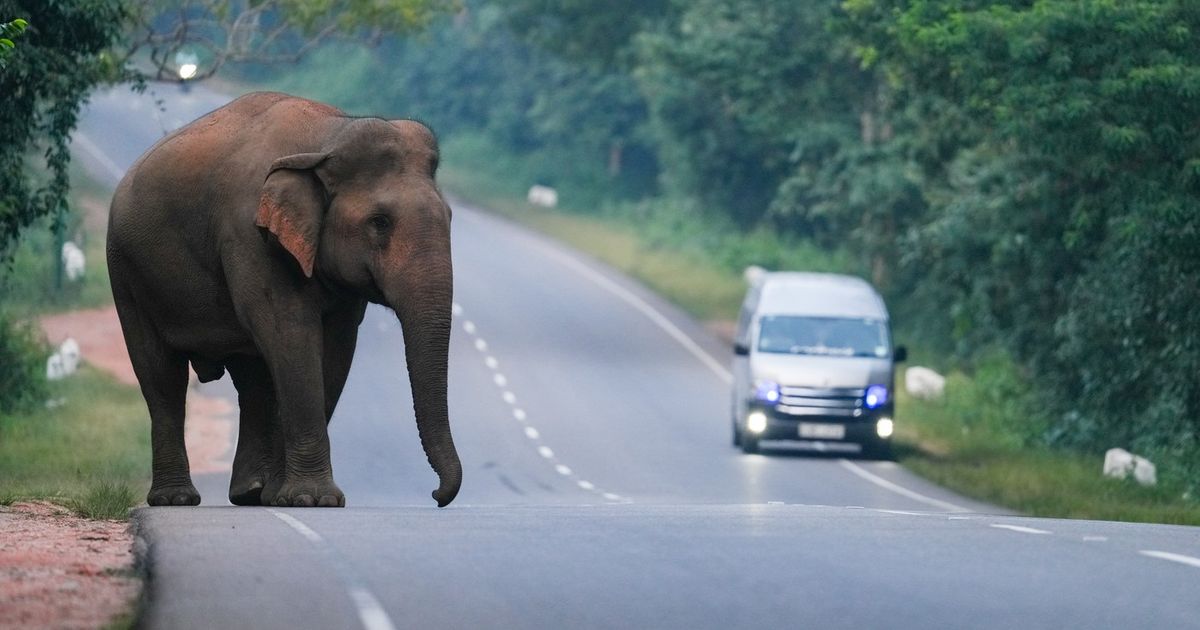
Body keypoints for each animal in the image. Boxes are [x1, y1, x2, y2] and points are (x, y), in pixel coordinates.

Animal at [106, 91, 462, 508]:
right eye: (380, 222)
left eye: (450, 217)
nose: (436, 495)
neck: (326, 137)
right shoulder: (249, 235)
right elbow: (290, 333)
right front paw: (313, 500)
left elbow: (335, 348)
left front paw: (288, 497)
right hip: (125, 270)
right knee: (161, 374)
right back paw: (176, 499)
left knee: (253, 378)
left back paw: (251, 493)